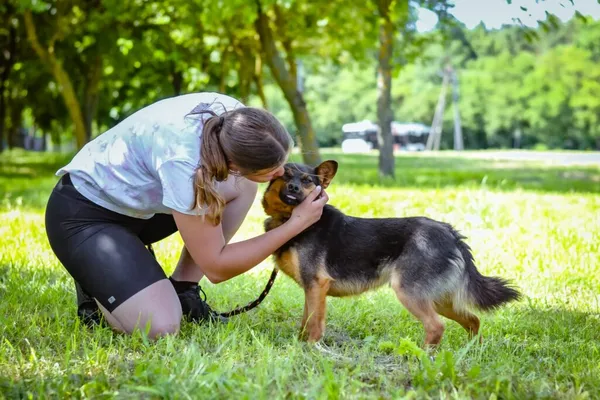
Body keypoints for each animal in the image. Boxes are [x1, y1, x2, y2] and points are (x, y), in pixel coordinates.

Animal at [262, 159, 520, 346]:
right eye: (286, 175)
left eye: (307, 181)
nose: (294, 187)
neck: (290, 218)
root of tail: (450, 232)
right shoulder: (311, 288)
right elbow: (304, 322)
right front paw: (299, 345)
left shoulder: (316, 284)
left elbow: (314, 324)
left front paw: (310, 350)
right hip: (439, 299)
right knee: (472, 320)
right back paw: (473, 352)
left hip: (410, 292)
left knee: (436, 327)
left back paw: (423, 358)